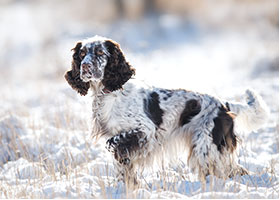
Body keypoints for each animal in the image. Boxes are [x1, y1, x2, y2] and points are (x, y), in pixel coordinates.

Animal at [65, 35, 270, 184]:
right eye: (82, 54)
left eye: (100, 52)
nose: (85, 66)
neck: (107, 93)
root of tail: (224, 105)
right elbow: (123, 165)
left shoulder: (145, 130)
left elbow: (114, 143)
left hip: (207, 147)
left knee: (227, 171)